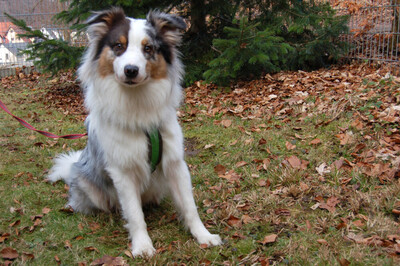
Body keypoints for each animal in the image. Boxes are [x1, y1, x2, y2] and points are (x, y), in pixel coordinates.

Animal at [48, 7, 222, 258]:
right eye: (118, 46)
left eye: (148, 48)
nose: (131, 70)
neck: (138, 104)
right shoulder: (123, 171)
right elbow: (134, 213)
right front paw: (142, 246)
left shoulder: (175, 163)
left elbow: (190, 206)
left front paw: (204, 236)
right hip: (90, 186)